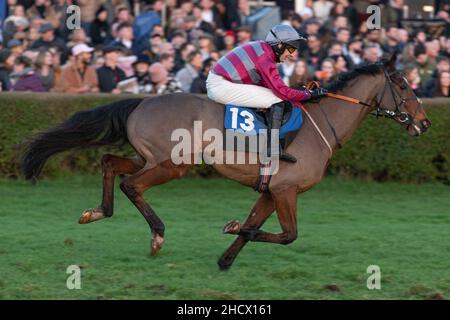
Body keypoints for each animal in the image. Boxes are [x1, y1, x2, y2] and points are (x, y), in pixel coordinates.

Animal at [22, 53, 432, 270]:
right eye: (403, 86)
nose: (425, 123)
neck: (321, 125)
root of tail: (142, 100)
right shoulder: (286, 190)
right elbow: (286, 235)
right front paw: (231, 229)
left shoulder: (272, 191)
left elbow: (258, 225)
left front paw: (225, 259)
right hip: (172, 163)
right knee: (130, 184)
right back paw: (156, 235)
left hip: (148, 156)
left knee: (109, 163)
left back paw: (96, 212)